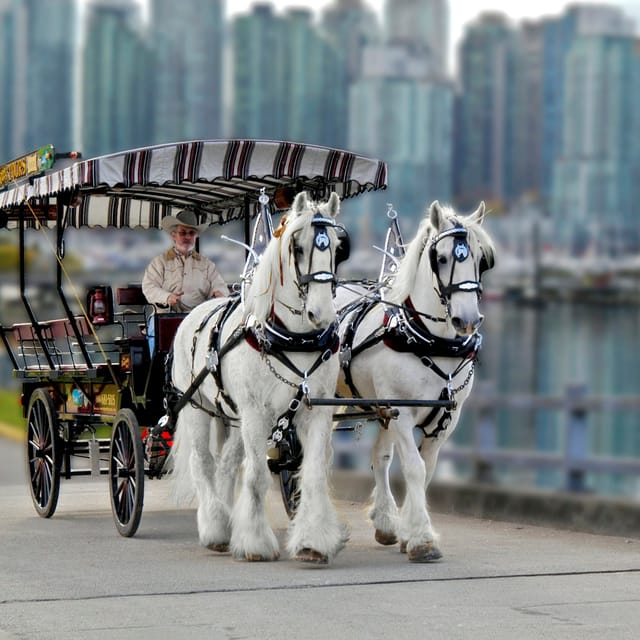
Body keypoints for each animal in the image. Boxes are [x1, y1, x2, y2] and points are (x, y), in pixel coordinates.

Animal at [169, 191, 350, 564]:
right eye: (298, 247)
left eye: (339, 247)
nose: (322, 314)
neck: (292, 338)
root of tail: (191, 313)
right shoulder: (256, 412)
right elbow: (255, 477)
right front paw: (254, 542)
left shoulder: (315, 412)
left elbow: (311, 475)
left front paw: (313, 541)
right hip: (197, 407)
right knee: (202, 463)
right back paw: (215, 527)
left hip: (233, 415)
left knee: (225, 464)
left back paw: (225, 521)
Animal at [336, 200, 496, 560]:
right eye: (442, 258)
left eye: (481, 260)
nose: (467, 320)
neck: (427, 340)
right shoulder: (403, 412)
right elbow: (414, 468)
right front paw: (422, 538)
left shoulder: (446, 418)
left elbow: (426, 470)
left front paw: (410, 532)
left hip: (380, 407)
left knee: (379, 458)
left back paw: (384, 521)